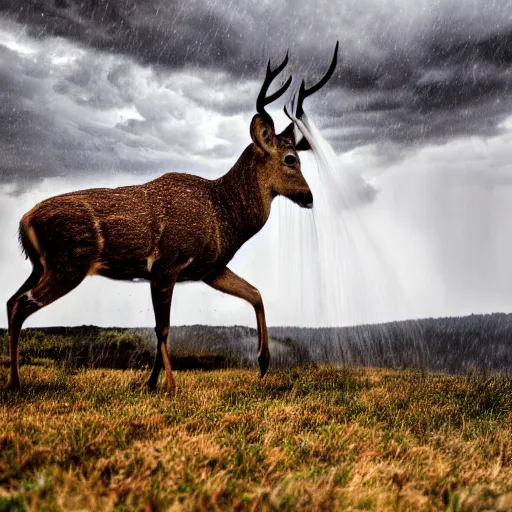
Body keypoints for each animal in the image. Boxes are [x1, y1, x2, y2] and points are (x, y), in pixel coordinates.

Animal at [6, 45, 340, 396]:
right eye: (291, 160)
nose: (309, 197)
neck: (225, 214)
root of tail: (23, 221)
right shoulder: (167, 263)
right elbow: (163, 327)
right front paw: (168, 383)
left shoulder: (210, 268)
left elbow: (255, 293)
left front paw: (262, 364)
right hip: (69, 262)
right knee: (21, 305)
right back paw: (15, 382)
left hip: (40, 265)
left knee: (11, 300)